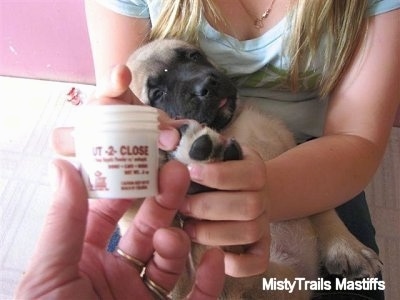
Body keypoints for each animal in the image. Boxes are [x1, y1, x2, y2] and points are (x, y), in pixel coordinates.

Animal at [124, 39, 382, 298]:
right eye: (158, 94)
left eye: (193, 56)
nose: (205, 85)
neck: (228, 125)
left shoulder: (290, 146)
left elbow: (323, 209)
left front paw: (347, 247)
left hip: (274, 280)